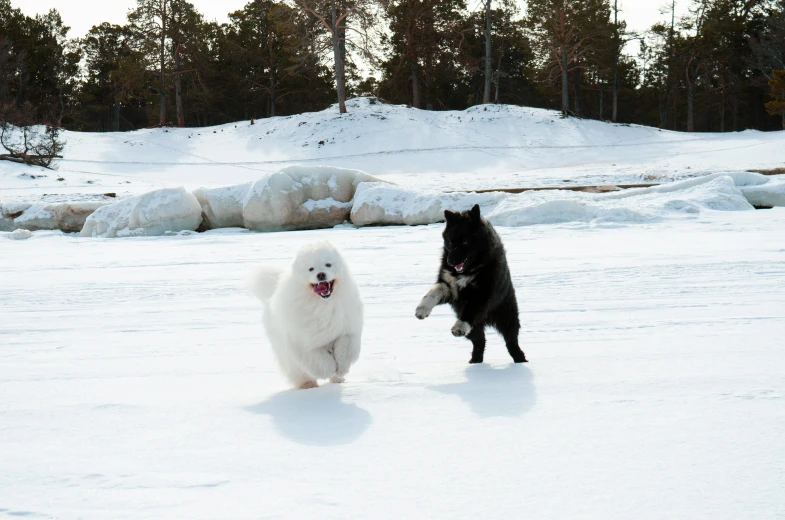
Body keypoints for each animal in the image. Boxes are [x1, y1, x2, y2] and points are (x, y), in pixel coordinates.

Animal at [248, 242, 364, 388]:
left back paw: (338, 379)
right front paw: (329, 369)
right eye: (311, 269)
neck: (323, 305)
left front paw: (341, 369)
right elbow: (319, 360)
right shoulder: (303, 342)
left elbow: (345, 350)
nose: (321, 274)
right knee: (299, 371)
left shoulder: (347, 330)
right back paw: (308, 384)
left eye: (328, 264)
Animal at [414, 205, 524, 364]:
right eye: (450, 242)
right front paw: (422, 310)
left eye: (465, 242)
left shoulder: (482, 294)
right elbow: (432, 293)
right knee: (480, 341)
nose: (450, 261)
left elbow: (470, 310)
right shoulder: (449, 287)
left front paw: (458, 327)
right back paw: (475, 361)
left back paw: (520, 360)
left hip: (507, 318)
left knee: (511, 341)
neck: (470, 269)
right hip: (475, 329)